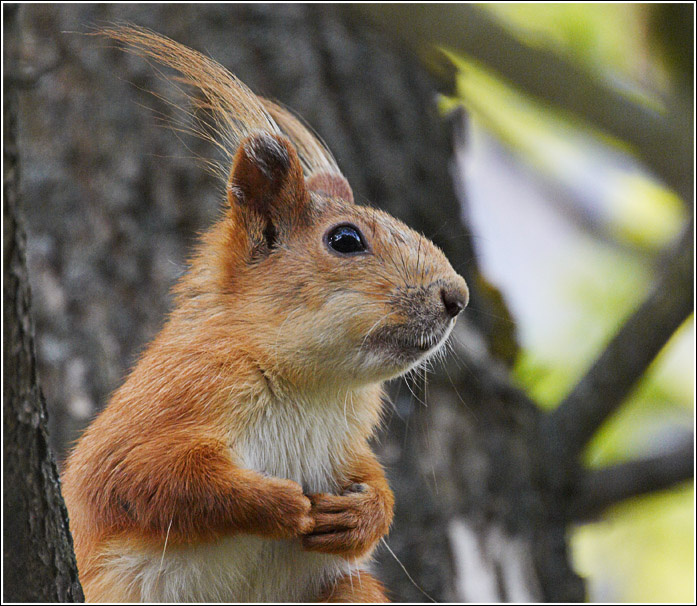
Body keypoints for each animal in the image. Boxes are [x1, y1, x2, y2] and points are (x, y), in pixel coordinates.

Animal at [61, 25, 469, 603]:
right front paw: (276, 504)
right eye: (346, 240)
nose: (457, 296)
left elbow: (372, 481)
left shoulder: (345, 446)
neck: (311, 387)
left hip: (346, 590)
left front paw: (362, 513)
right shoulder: (159, 410)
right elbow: (144, 478)